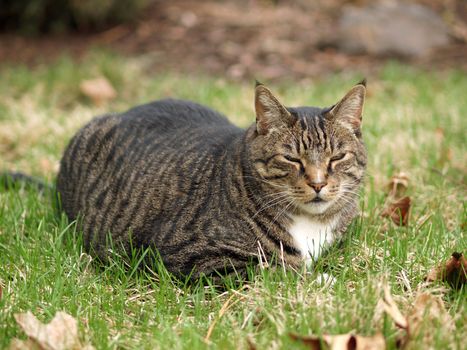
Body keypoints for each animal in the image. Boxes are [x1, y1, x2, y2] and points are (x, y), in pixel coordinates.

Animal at [55, 81, 370, 278]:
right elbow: (274, 272)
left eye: (337, 158)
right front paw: (322, 280)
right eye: (292, 159)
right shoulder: (186, 254)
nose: (318, 183)